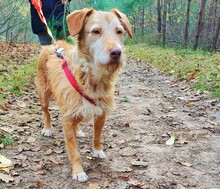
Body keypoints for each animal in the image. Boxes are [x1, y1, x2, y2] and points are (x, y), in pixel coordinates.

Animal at [36, 7, 132, 182]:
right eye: (96, 31)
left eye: (119, 31)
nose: (117, 52)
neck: (92, 80)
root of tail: (51, 46)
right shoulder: (67, 118)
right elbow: (74, 150)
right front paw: (78, 171)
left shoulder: (101, 113)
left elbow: (97, 136)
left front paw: (97, 150)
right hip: (44, 94)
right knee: (46, 112)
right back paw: (47, 128)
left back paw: (78, 131)